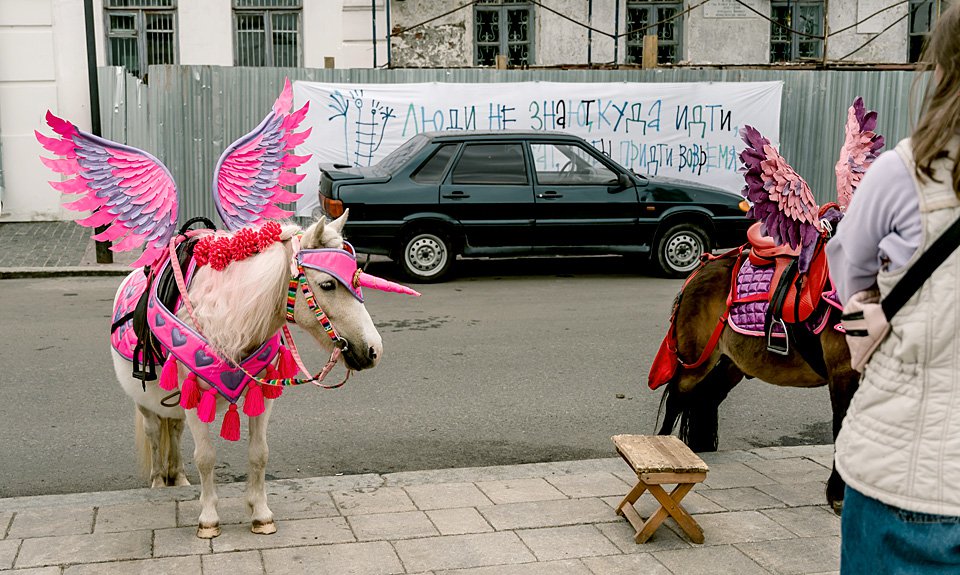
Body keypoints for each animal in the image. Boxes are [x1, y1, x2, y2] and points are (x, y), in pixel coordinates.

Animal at [656, 252, 860, 512]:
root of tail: (702, 267)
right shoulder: (843, 372)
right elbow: (842, 428)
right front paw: (837, 493)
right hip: (696, 360)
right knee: (676, 399)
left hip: (732, 364)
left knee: (707, 398)